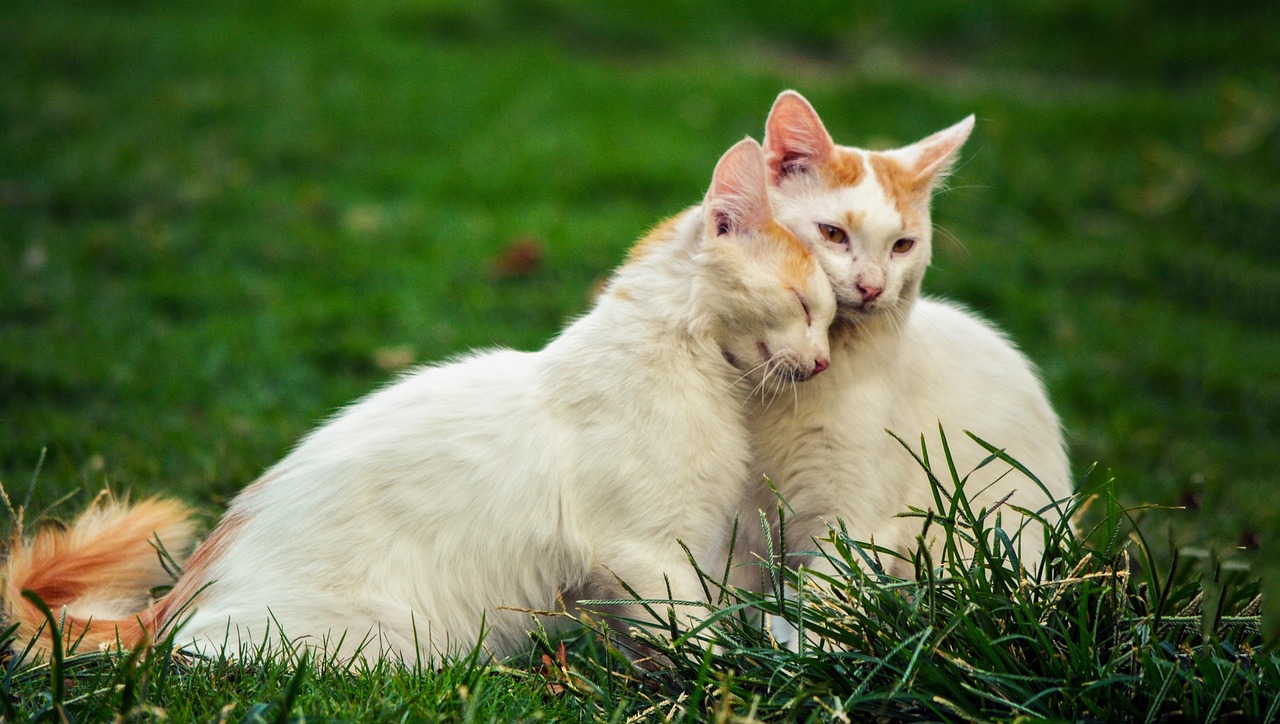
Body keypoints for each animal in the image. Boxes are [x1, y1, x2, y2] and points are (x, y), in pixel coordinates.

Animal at [2, 138, 839, 665]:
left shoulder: (666, 553)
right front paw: (729, 673)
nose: (826, 358)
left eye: (831, 316)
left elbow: (665, 633)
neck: (689, 364)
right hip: (379, 639)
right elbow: (690, 627)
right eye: (804, 306)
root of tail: (173, 601)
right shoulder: (644, 549)